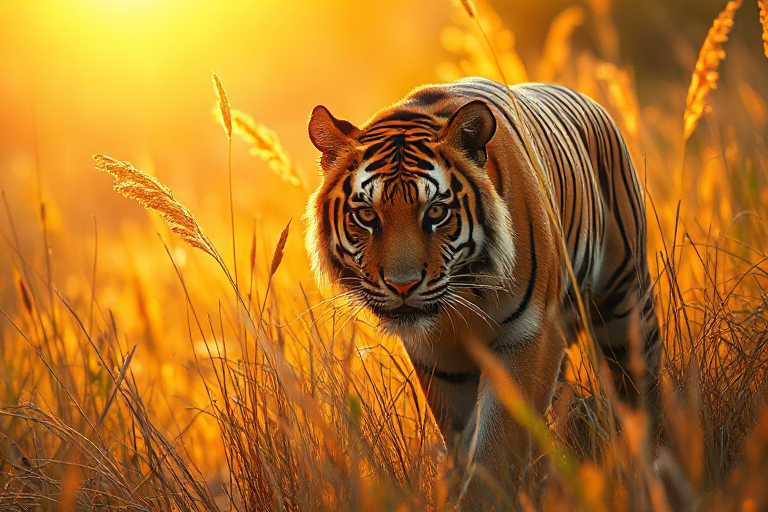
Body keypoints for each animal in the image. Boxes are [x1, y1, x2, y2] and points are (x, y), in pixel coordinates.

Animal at [305, 77, 661, 510]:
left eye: (435, 212)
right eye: (367, 216)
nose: (402, 285)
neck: (463, 292)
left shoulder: (530, 338)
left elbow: (496, 450)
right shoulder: (441, 361)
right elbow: (467, 443)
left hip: (626, 305)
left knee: (641, 393)